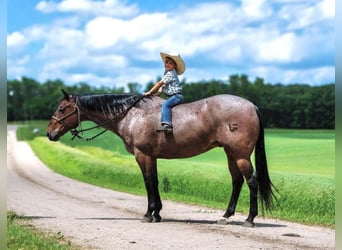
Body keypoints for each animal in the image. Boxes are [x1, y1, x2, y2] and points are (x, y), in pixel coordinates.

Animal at [46, 89, 276, 227]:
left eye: (62, 108)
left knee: (251, 181)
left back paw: (249, 219)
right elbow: (155, 182)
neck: (132, 114)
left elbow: (148, 182)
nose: (50, 133)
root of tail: (252, 106)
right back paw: (226, 215)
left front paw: (149, 214)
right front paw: (157, 213)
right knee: (237, 182)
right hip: (231, 155)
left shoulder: (143, 155)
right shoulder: (152, 157)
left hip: (240, 155)